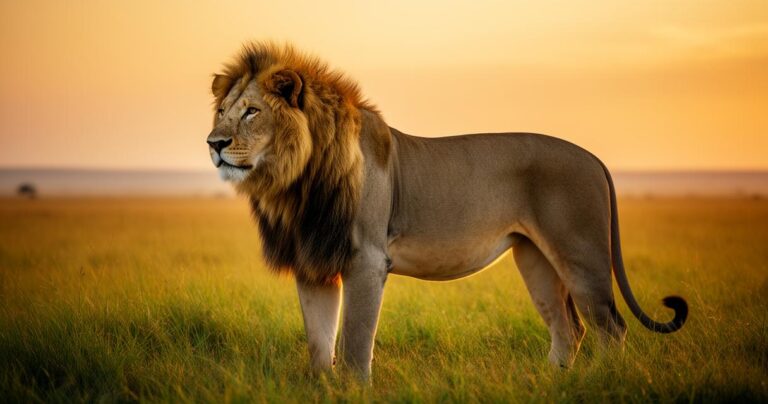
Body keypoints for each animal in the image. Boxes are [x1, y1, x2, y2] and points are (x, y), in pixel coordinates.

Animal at [206, 42, 688, 380]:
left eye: (251, 112)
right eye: (222, 112)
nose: (214, 143)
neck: (296, 182)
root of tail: (593, 158)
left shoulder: (366, 260)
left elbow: (355, 345)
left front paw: (353, 387)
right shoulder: (314, 262)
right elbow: (319, 345)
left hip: (581, 255)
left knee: (610, 328)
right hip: (535, 259)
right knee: (570, 330)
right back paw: (554, 382)